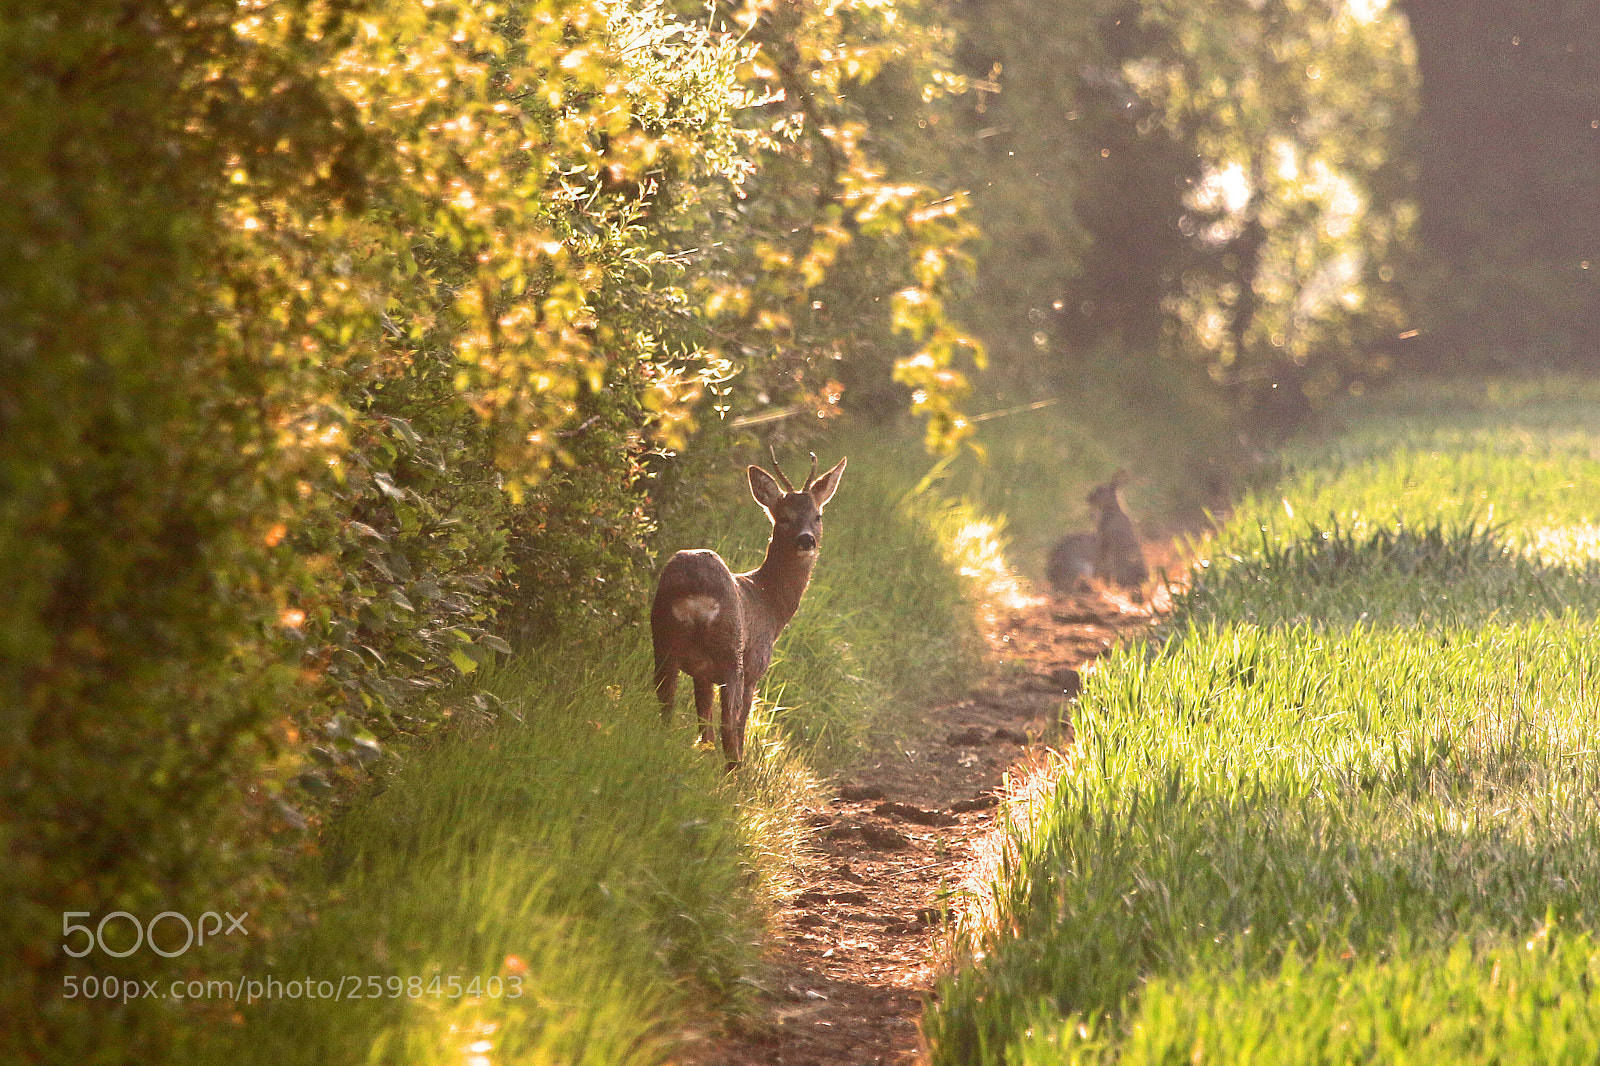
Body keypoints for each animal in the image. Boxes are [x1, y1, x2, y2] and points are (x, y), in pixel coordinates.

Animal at [651, 449, 847, 769]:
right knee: (729, 729)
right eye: (784, 518)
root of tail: (695, 591)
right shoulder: (755, 666)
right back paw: (735, 773)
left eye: (817, 515)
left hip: (663, 639)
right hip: (732, 655)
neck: (770, 603)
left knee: (667, 705)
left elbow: (704, 727)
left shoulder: (702, 673)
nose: (807, 539)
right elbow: (736, 727)